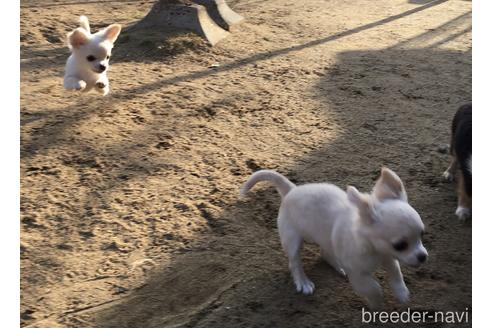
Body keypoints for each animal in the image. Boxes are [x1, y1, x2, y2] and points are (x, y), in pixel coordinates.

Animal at [241, 168, 426, 308]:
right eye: (400, 245)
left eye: (421, 235)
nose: (423, 257)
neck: (374, 251)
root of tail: (291, 190)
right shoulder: (358, 275)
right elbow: (373, 288)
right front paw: (377, 304)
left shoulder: (388, 257)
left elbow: (396, 272)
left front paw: (401, 293)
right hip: (292, 240)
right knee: (294, 263)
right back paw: (303, 282)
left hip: (326, 238)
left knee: (325, 253)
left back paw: (337, 266)